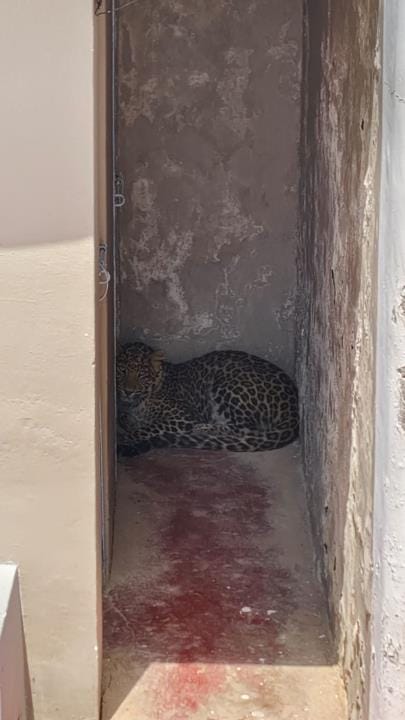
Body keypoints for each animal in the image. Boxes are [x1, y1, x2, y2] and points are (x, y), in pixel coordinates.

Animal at [116, 341, 299, 457]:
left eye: (141, 375)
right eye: (123, 371)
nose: (127, 391)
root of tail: (294, 406)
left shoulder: (184, 417)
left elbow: (150, 427)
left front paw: (125, 437)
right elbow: (124, 418)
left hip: (227, 382)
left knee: (247, 431)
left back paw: (201, 429)